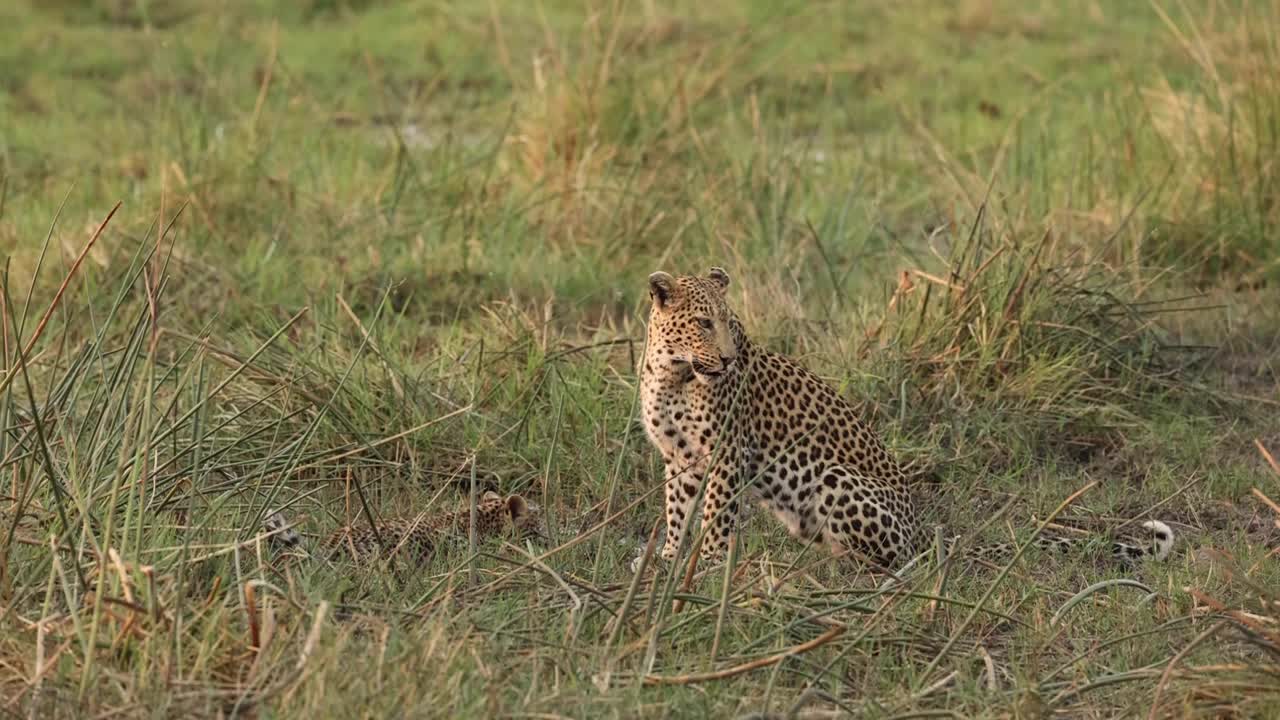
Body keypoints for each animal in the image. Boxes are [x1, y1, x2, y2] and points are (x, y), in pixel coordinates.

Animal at [639, 267, 1174, 571]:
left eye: (731, 325)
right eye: (703, 323)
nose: (730, 359)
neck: (673, 373)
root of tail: (919, 531)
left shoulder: (727, 454)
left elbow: (715, 514)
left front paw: (708, 565)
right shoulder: (679, 458)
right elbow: (676, 511)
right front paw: (667, 560)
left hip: (836, 480)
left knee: (890, 561)